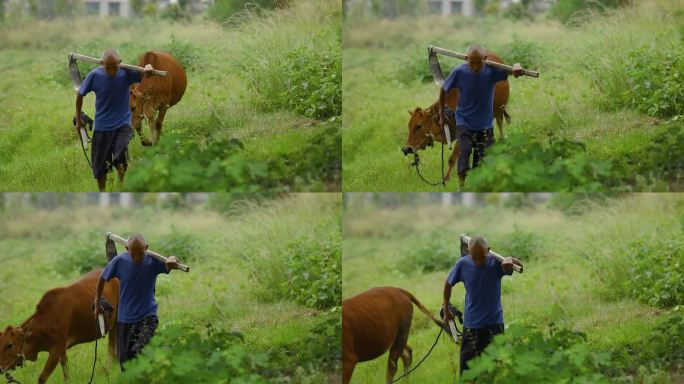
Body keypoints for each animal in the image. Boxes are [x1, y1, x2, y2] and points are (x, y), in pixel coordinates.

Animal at [404, 51, 510, 183]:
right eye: (409, 126)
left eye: (419, 125)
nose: (406, 149)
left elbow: (452, 158)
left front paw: (446, 178)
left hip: (499, 111)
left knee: (500, 126)